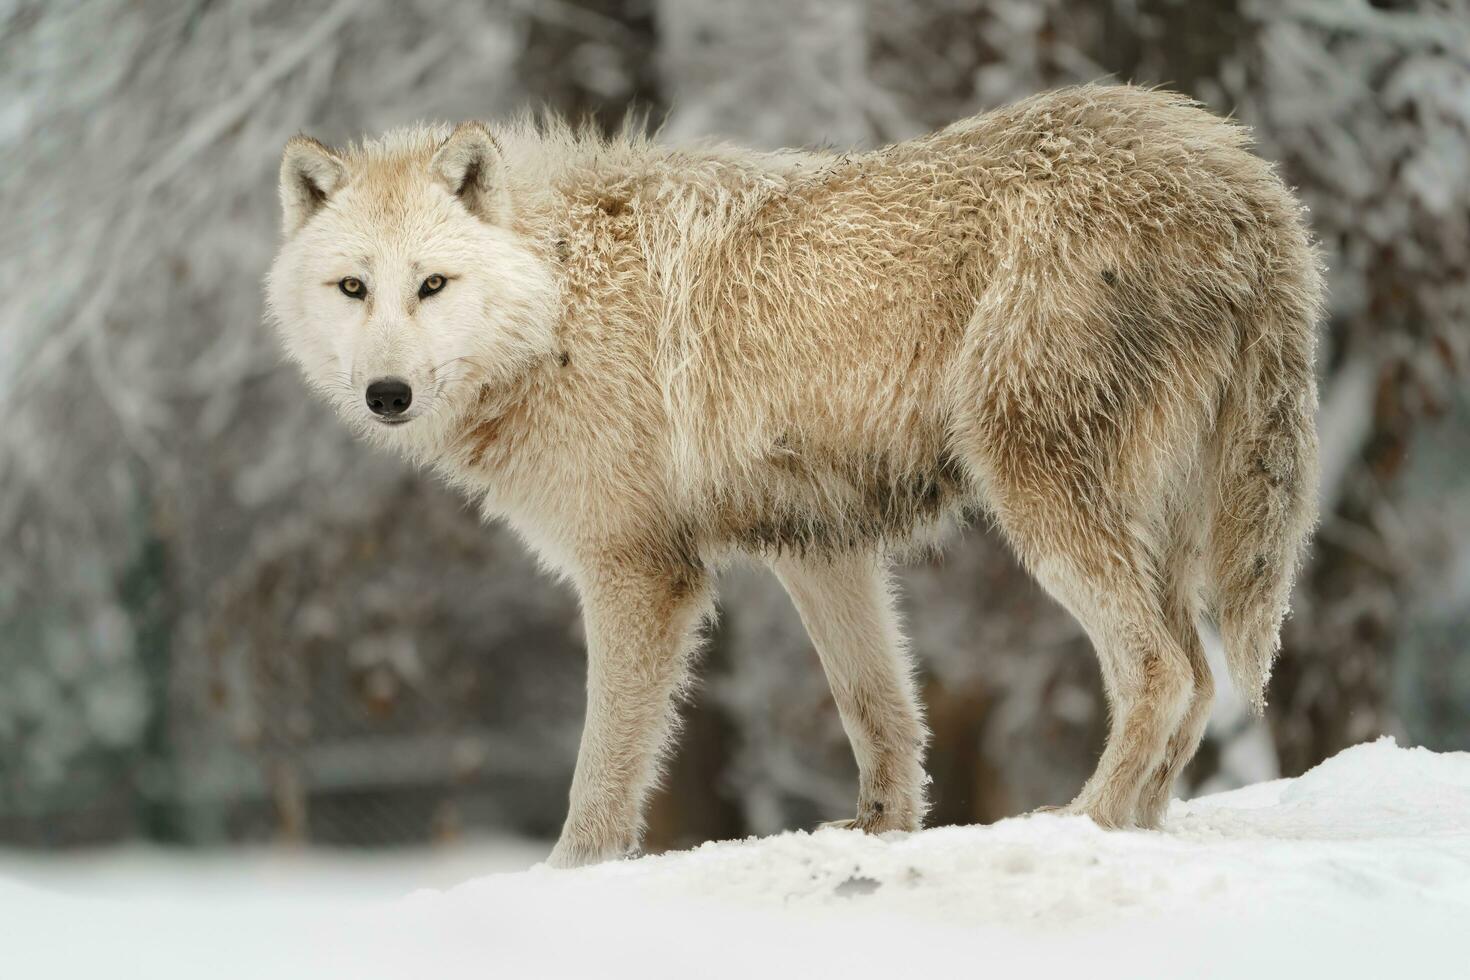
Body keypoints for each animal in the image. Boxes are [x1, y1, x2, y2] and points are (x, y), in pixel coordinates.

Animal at [264, 82, 1323, 863]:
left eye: (432, 285)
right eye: (353, 287)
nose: (387, 394)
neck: (559, 295)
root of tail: (1244, 176)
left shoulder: (640, 571)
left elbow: (602, 770)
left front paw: (566, 879)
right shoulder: (818, 545)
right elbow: (881, 713)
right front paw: (879, 834)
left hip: (1040, 500)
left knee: (1161, 672)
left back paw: (1082, 824)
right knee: (1197, 678)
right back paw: (1137, 829)